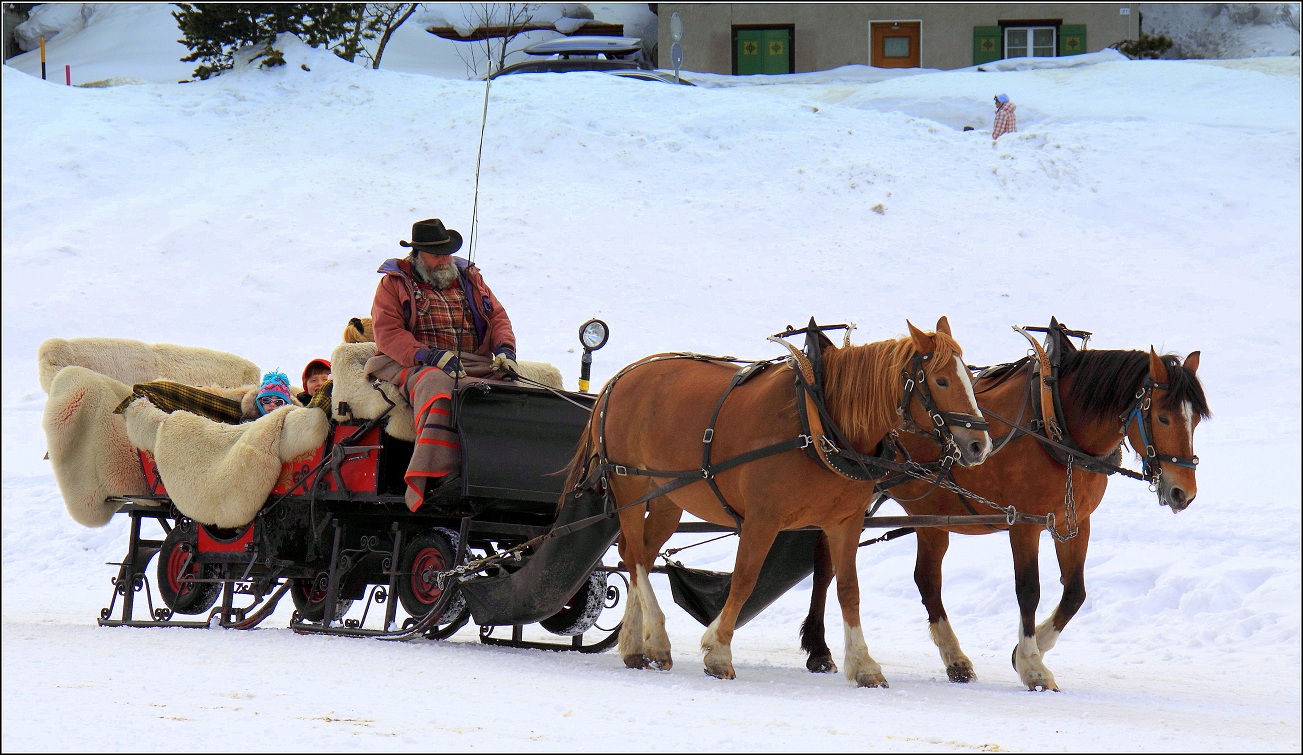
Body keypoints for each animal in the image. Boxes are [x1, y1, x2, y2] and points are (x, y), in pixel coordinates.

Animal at [565, 315, 990, 688]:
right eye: (941, 380)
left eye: (970, 377)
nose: (979, 445)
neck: (818, 421)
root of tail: (621, 377)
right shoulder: (762, 519)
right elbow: (744, 579)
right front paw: (718, 651)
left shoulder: (846, 521)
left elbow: (848, 589)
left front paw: (863, 664)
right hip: (630, 486)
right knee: (636, 554)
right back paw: (657, 637)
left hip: (669, 495)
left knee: (635, 552)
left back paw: (638, 645)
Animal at [792, 325, 1209, 693]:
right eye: (1163, 417)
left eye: (1196, 420)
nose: (1183, 492)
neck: (1054, 421)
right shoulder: (1023, 522)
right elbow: (1029, 589)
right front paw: (1032, 665)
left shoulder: (1073, 520)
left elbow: (1075, 593)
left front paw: (1031, 648)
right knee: (826, 566)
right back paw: (819, 649)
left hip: (928, 514)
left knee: (926, 579)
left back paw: (954, 658)